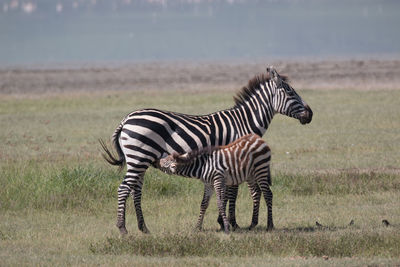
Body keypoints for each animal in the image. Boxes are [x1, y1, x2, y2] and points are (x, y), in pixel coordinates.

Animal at [101, 67, 312, 234]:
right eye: (290, 92)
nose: (310, 114)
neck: (243, 122)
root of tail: (126, 119)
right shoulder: (234, 157)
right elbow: (232, 193)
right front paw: (230, 223)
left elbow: (227, 192)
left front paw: (224, 221)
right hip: (138, 157)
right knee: (124, 189)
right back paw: (122, 228)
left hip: (139, 160)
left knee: (135, 191)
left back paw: (143, 227)